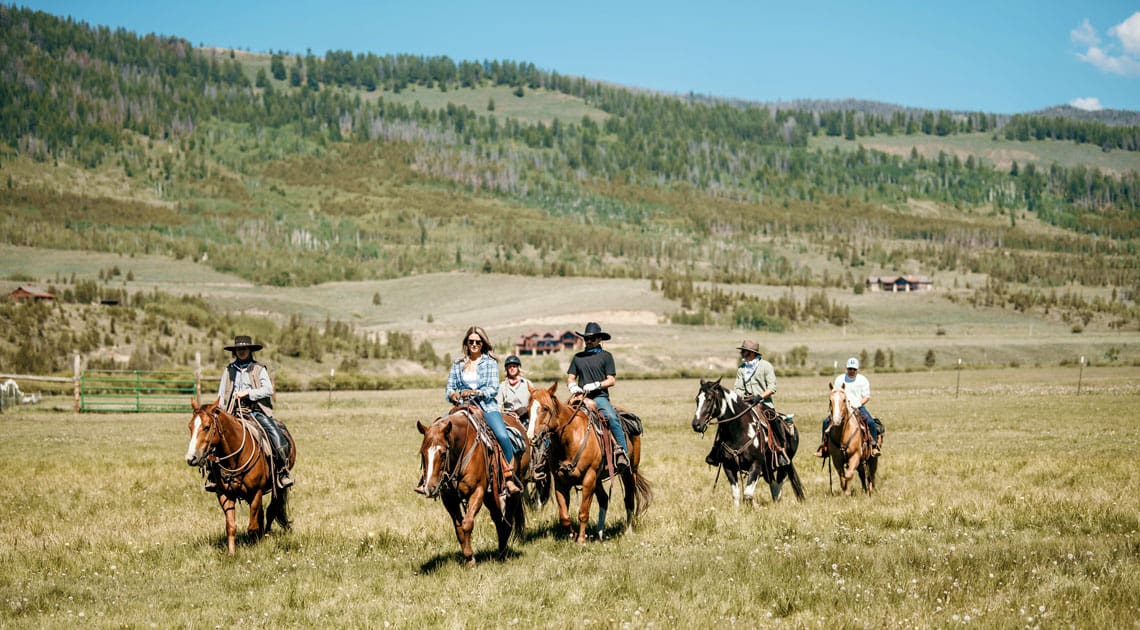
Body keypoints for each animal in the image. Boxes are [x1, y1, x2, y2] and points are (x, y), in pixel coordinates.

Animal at [185, 401, 294, 553]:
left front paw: (255, 547)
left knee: (271, 510)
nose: (191, 458)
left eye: (207, 427)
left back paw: (266, 535)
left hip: (277, 487)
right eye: (190, 426)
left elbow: (252, 526)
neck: (236, 458)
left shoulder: (256, 492)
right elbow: (231, 526)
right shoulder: (224, 494)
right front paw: (231, 553)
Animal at [414, 407, 528, 565]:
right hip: (490, 496)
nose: (429, 488)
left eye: (442, 453)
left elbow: (467, 524)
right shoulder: (449, 499)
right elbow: (459, 528)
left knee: (508, 520)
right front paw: (468, 558)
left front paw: (470, 558)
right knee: (497, 518)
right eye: (422, 453)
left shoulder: (477, 491)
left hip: (514, 490)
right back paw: (501, 550)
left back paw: (503, 554)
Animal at [522, 380, 652, 542]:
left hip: (629, 471)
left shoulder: (589, 477)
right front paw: (573, 535)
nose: (531, 437)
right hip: (598, 478)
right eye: (528, 410)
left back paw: (628, 531)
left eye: (545, 408)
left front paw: (581, 540)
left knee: (629, 499)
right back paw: (599, 533)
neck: (570, 438)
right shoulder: (560, 481)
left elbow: (583, 512)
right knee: (604, 499)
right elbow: (564, 516)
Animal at [688, 375, 807, 503]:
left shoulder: (756, 465)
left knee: (778, 486)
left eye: (710, 399)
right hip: (768, 469)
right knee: (774, 485)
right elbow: (736, 494)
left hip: (783, 466)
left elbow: (748, 494)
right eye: (697, 399)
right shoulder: (728, 466)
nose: (696, 425)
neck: (738, 431)